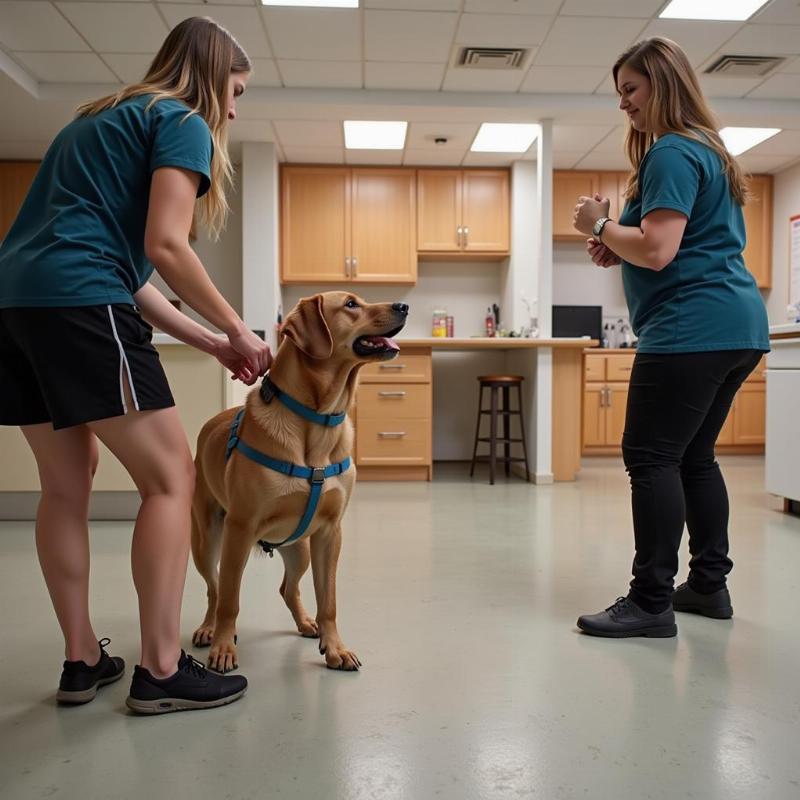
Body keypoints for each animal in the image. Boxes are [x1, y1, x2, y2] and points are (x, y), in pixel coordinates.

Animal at [191, 290, 410, 672]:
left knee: (287, 588)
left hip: (300, 549)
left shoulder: (329, 533)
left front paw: (335, 647)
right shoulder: (240, 528)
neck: (318, 422)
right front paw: (223, 647)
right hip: (208, 542)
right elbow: (230, 600)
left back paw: (307, 623)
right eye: (351, 304)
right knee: (215, 589)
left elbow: (329, 601)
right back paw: (209, 629)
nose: (404, 306)